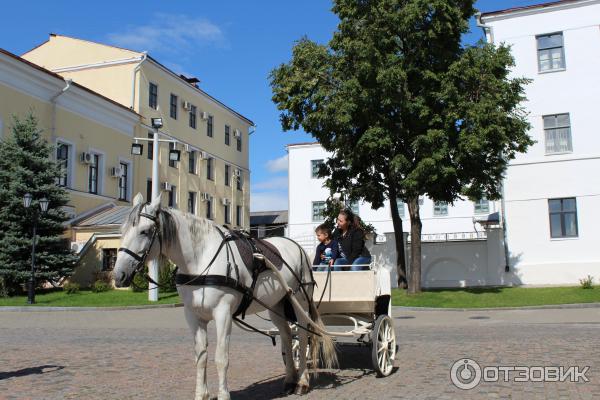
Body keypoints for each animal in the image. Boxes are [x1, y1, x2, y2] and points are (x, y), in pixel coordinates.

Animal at [113, 194, 338, 400]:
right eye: (122, 230)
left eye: (145, 231)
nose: (118, 275)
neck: (202, 260)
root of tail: (296, 246)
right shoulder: (193, 316)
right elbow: (200, 356)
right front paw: (201, 395)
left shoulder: (223, 314)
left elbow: (221, 358)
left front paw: (223, 395)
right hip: (277, 304)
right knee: (286, 335)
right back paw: (289, 380)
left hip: (299, 301)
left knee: (303, 335)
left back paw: (302, 382)